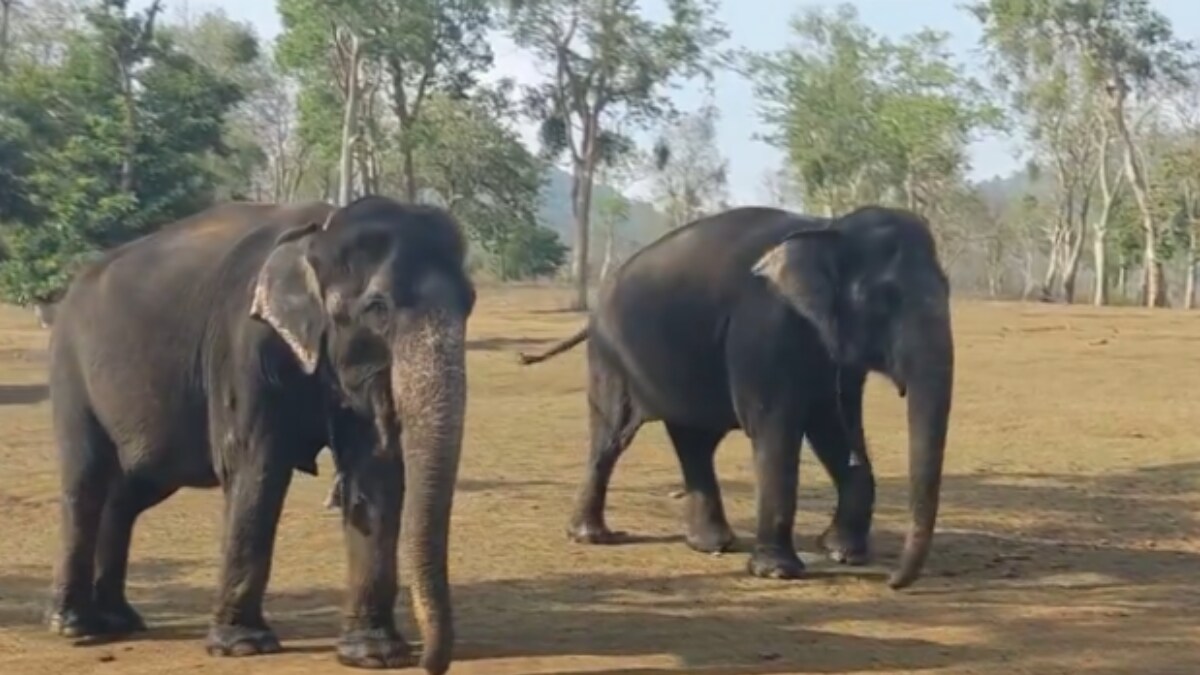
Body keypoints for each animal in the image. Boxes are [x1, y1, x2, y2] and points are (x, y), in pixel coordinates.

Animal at [45, 195, 474, 674]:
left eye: (470, 303)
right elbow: (256, 467)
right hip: (70, 368)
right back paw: (76, 627)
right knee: (87, 481)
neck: (320, 232)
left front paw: (374, 654)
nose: (430, 663)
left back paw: (120, 620)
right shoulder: (242, 346)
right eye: (377, 308)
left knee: (129, 493)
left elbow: (374, 473)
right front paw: (243, 646)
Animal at [517, 205, 954, 589]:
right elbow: (776, 429)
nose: (893, 581)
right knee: (612, 438)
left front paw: (843, 553)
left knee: (694, 442)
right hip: (611, 357)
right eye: (885, 300)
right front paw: (778, 572)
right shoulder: (762, 328)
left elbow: (834, 426)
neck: (828, 228)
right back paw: (593, 536)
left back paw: (712, 544)